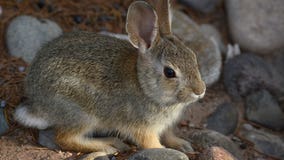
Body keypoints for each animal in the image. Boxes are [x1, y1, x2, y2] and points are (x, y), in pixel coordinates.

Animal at [14, 0, 205, 155]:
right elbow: (150, 144)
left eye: (193, 57)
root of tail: (36, 102)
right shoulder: (142, 128)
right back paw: (107, 146)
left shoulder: (164, 126)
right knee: (64, 138)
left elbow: (168, 135)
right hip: (82, 114)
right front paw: (164, 150)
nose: (200, 91)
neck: (144, 85)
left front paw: (182, 145)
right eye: (169, 72)